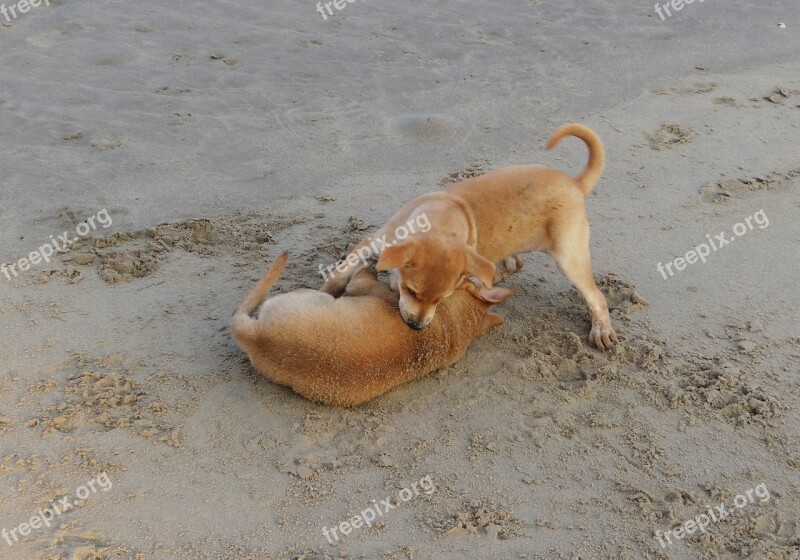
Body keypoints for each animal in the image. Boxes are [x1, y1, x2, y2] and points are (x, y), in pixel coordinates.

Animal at [231, 252, 520, 404]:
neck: (454, 323)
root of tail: (256, 335)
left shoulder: (364, 286)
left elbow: (363, 276)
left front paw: (367, 261)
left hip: (310, 296)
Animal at [320, 124, 620, 350]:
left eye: (441, 300)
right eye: (412, 291)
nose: (417, 326)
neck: (440, 222)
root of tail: (575, 183)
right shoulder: (373, 244)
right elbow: (338, 277)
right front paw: (325, 294)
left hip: (570, 256)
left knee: (596, 296)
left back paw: (601, 330)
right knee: (513, 264)